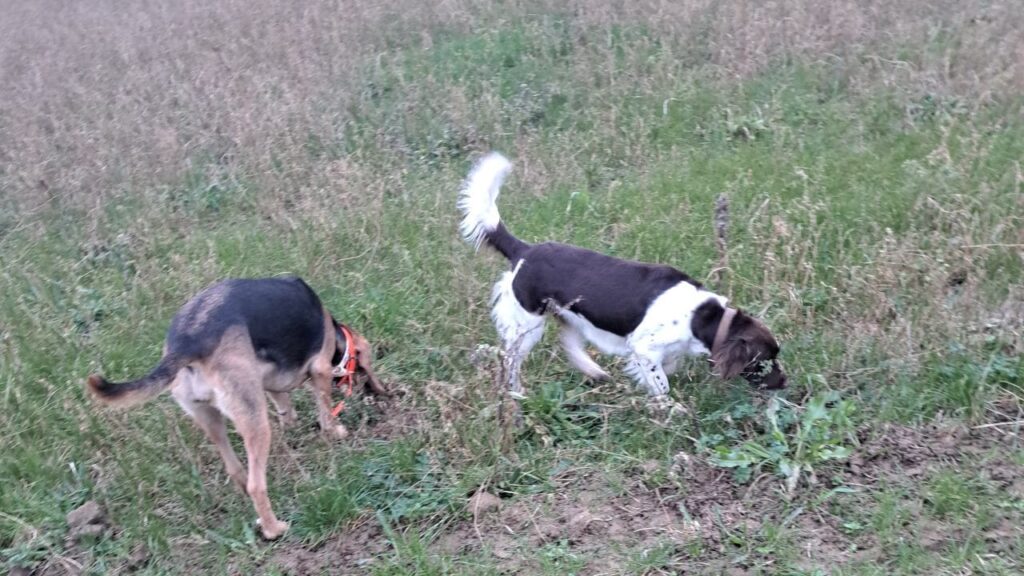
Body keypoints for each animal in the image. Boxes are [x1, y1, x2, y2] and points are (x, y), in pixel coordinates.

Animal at [86, 276, 389, 537]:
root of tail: (187, 340)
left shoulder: (272, 385)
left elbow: (285, 407)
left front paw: (292, 426)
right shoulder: (320, 370)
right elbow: (325, 414)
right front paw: (335, 432)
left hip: (209, 418)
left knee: (235, 468)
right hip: (254, 420)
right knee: (257, 485)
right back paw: (273, 528)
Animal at [456, 152, 782, 399]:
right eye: (765, 361)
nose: (784, 383)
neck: (701, 315)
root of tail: (524, 250)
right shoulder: (644, 348)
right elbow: (661, 383)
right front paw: (669, 409)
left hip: (569, 316)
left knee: (567, 342)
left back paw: (594, 371)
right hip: (526, 325)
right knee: (510, 361)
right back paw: (516, 393)